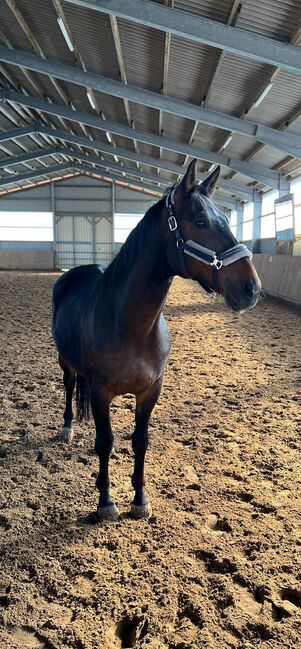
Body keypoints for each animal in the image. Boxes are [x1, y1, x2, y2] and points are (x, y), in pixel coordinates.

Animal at [51, 162, 260, 520]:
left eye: (226, 219)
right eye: (200, 221)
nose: (251, 288)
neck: (129, 326)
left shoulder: (151, 390)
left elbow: (140, 440)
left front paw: (139, 499)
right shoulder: (100, 391)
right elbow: (105, 442)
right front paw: (106, 502)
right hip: (66, 363)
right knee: (68, 387)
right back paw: (67, 428)